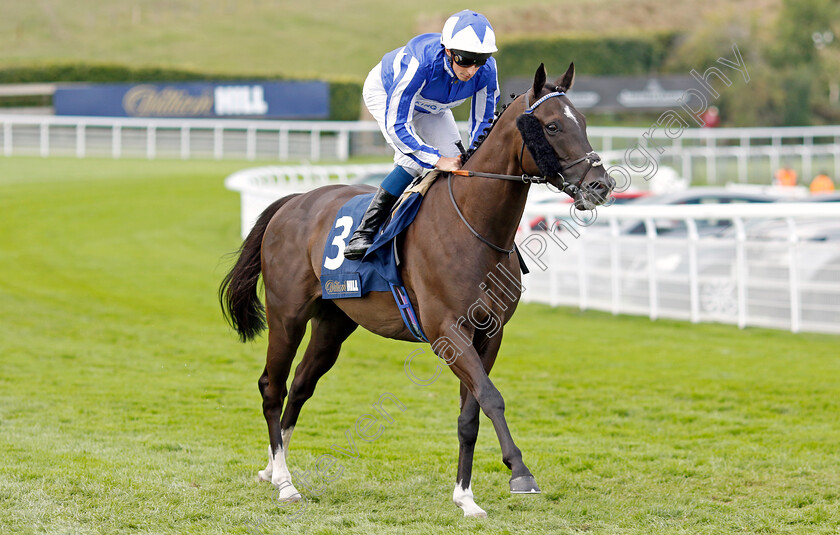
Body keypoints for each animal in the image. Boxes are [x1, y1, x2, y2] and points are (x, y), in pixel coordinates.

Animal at [221, 62, 616, 520]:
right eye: (552, 126)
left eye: (583, 122)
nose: (601, 185)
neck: (475, 227)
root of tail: (293, 201)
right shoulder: (447, 332)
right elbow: (492, 398)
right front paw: (520, 472)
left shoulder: (489, 333)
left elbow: (470, 412)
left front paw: (465, 497)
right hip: (287, 315)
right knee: (273, 386)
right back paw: (285, 482)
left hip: (334, 323)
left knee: (301, 385)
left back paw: (273, 467)